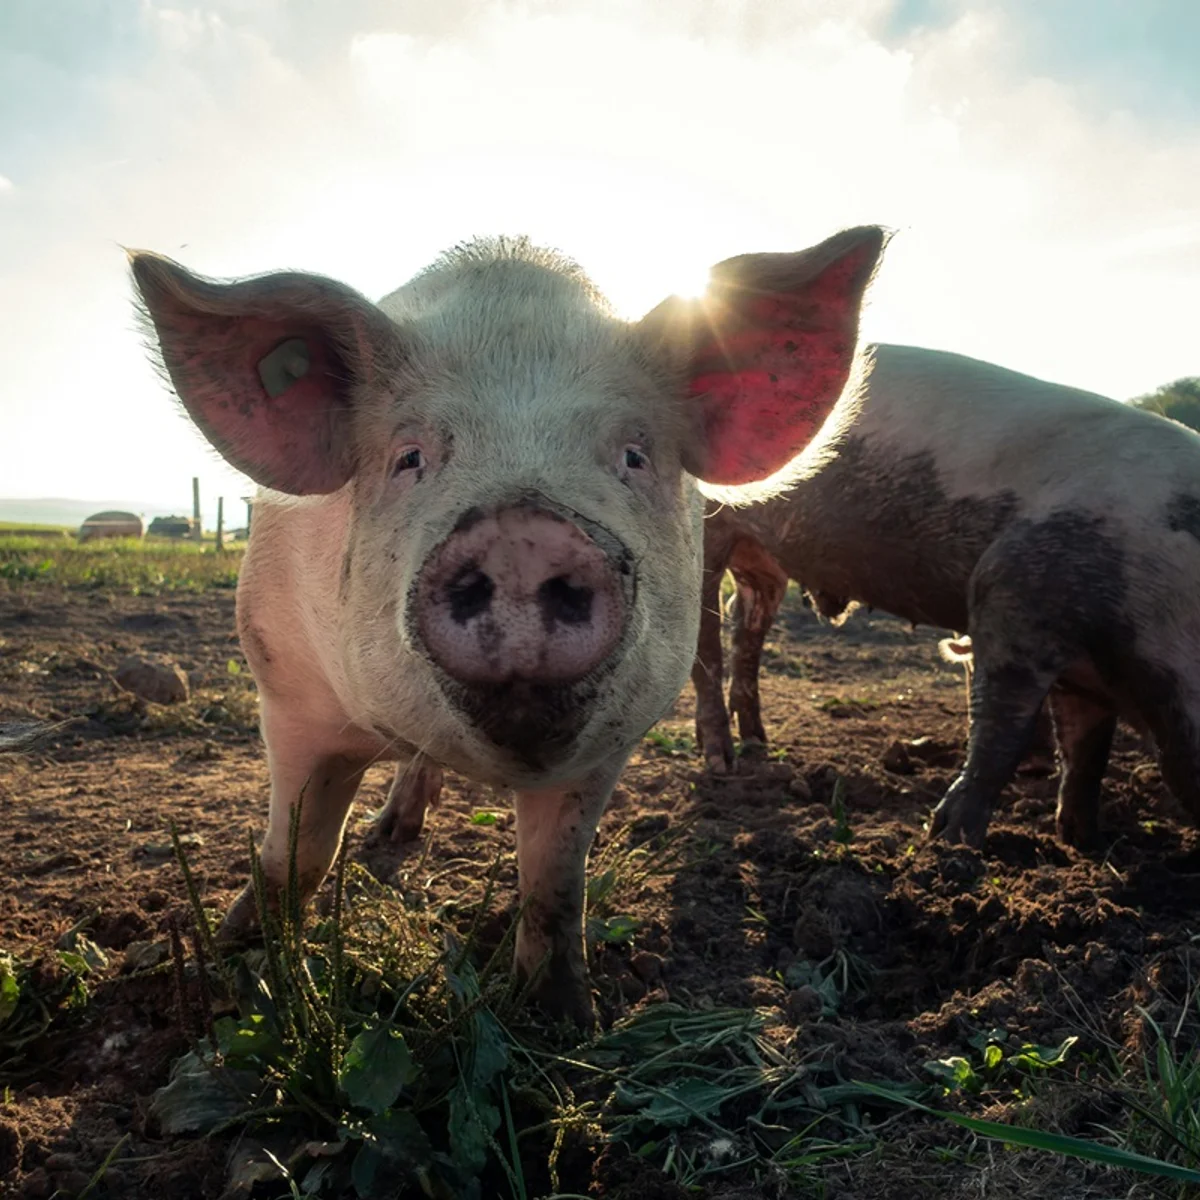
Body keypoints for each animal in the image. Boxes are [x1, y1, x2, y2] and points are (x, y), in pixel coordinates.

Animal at [130, 225, 887, 1025]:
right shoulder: (287, 687)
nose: (524, 533)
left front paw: (563, 1020)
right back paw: (388, 834)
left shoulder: (612, 740)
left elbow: (554, 882)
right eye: (409, 456)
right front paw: (239, 964)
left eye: (633, 455)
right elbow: (296, 852)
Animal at [687, 343, 1200, 851]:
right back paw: (722, 762)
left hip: (763, 559)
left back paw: (758, 742)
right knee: (705, 643)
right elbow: (1000, 734)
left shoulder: (1084, 671)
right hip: (706, 533)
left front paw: (1084, 841)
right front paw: (951, 841)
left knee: (746, 622)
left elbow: (1086, 750)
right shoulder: (1008, 596)